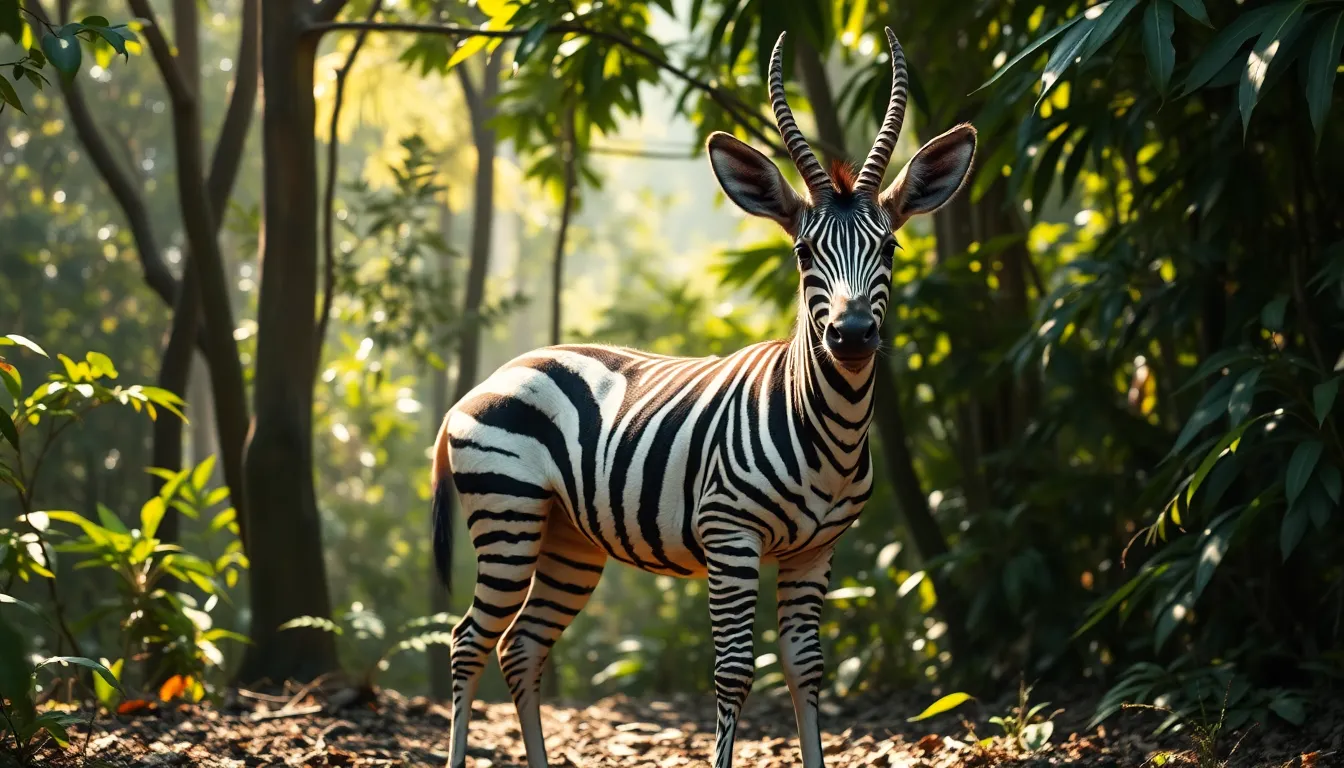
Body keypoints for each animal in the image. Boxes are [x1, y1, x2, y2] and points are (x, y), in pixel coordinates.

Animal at [431, 28, 975, 768]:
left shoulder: (815, 553)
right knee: (468, 642)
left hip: (568, 539)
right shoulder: (731, 537)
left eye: (889, 248)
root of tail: (496, 375)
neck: (827, 432)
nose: (853, 335)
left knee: (521, 648)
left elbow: (806, 669)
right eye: (804, 255)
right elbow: (735, 672)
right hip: (507, 514)